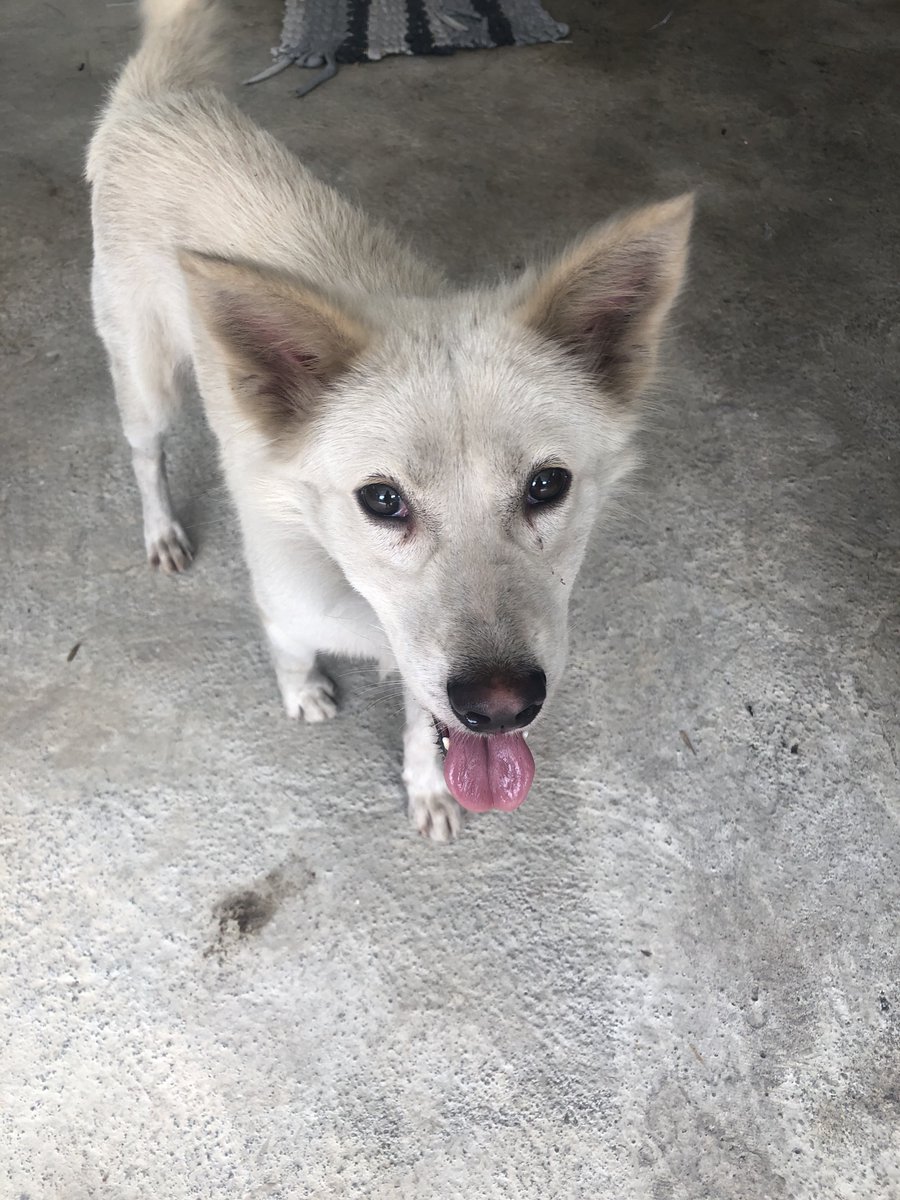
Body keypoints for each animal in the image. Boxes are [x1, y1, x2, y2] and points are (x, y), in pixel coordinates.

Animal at [88, 0, 696, 840]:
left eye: (547, 486)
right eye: (381, 500)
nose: (500, 708)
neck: (346, 577)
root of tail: (161, 99)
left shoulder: (425, 671)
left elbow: (422, 724)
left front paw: (428, 787)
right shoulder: (285, 600)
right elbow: (288, 648)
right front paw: (302, 691)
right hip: (146, 379)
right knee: (146, 455)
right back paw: (162, 531)